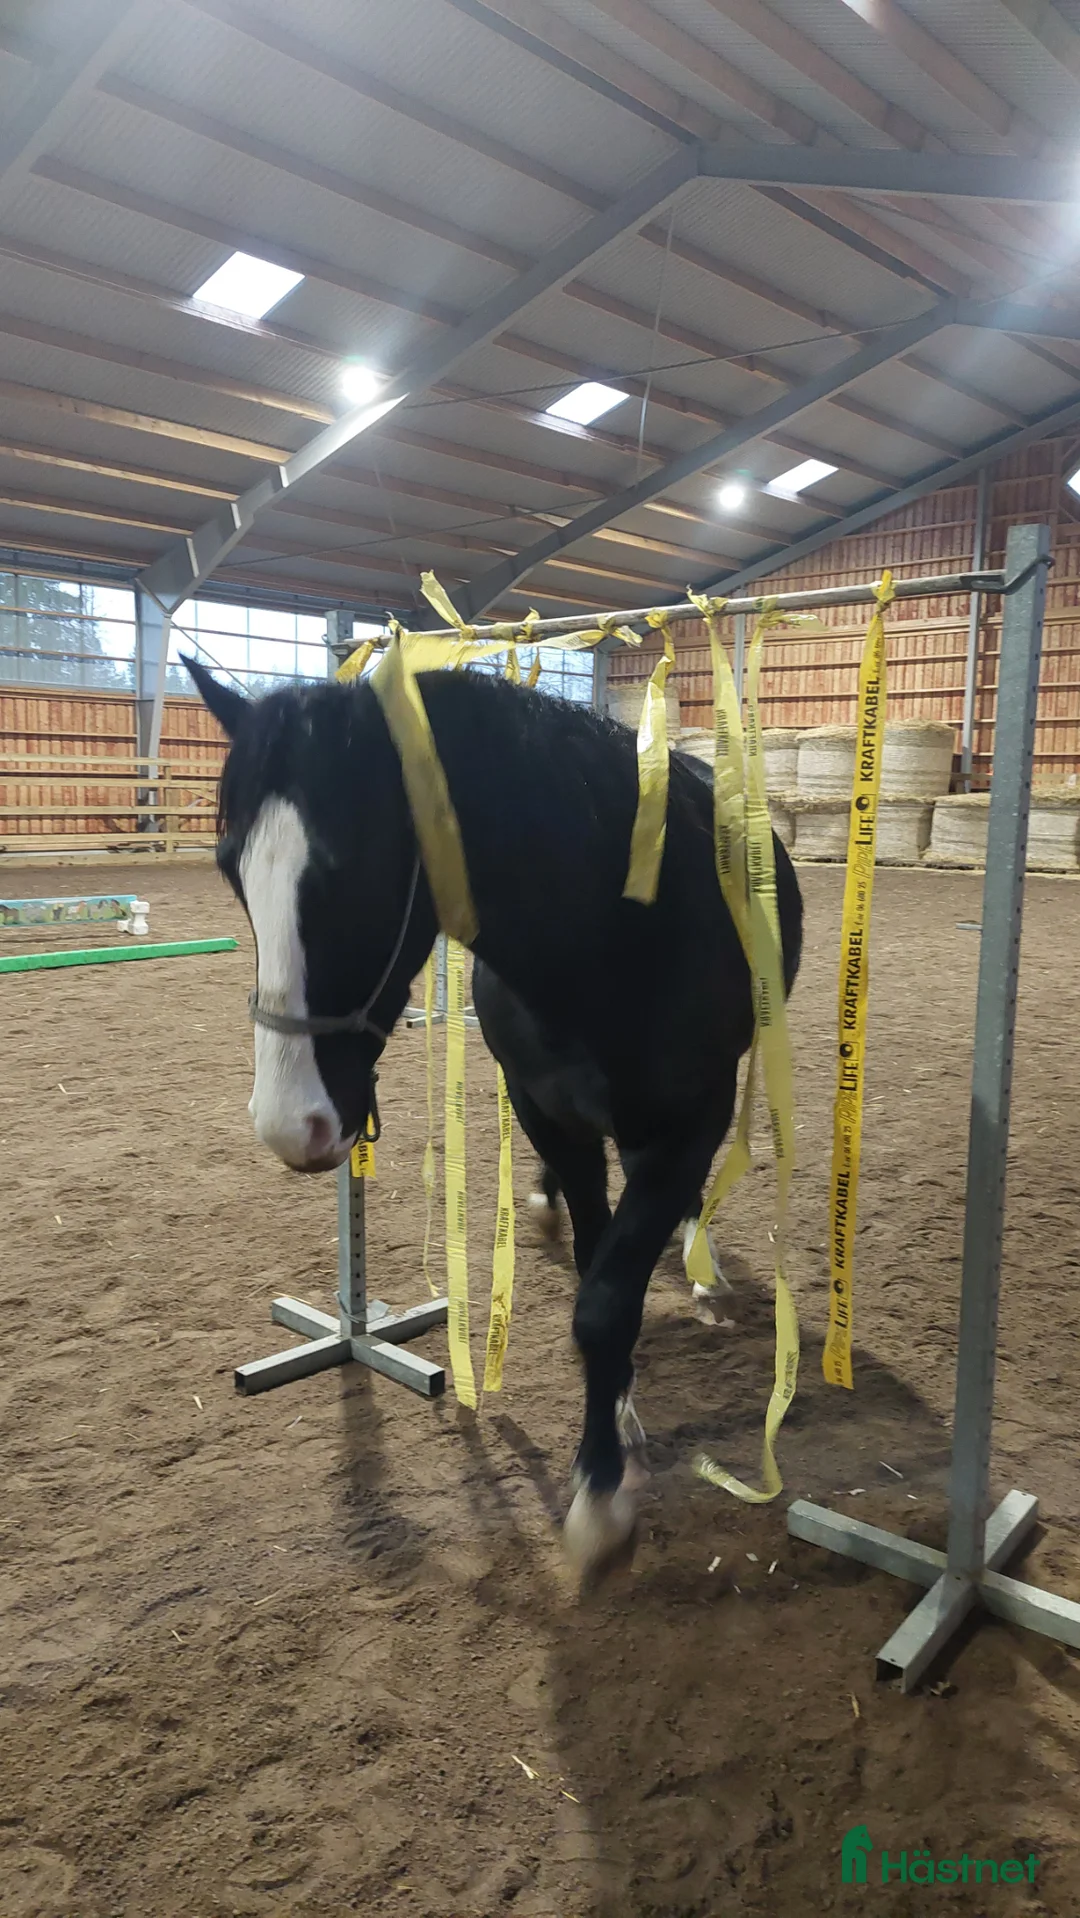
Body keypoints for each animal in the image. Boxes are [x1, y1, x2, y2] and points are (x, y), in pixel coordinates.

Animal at [185, 655, 803, 1580]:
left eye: (349, 867)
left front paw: (600, 1496)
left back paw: (701, 1265)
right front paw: (617, 1419)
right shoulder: (548, 1111)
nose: (291, 1125)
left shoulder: (685, 1123)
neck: (610, 927)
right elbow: (593, 1270)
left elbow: (607, 1301)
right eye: (232, 868)